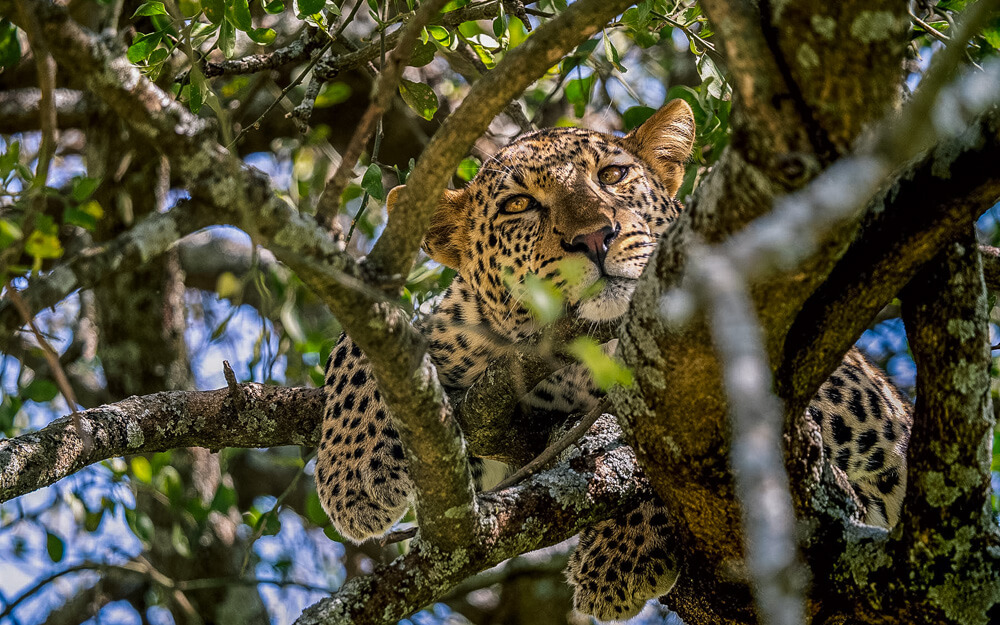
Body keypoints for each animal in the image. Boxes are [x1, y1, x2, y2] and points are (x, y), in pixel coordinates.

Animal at [315, 99, 913, 621]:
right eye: (518, 205)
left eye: (613, 174)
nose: (594, 237)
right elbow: (367, 334)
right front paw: (353, 473)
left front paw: (617, 558)